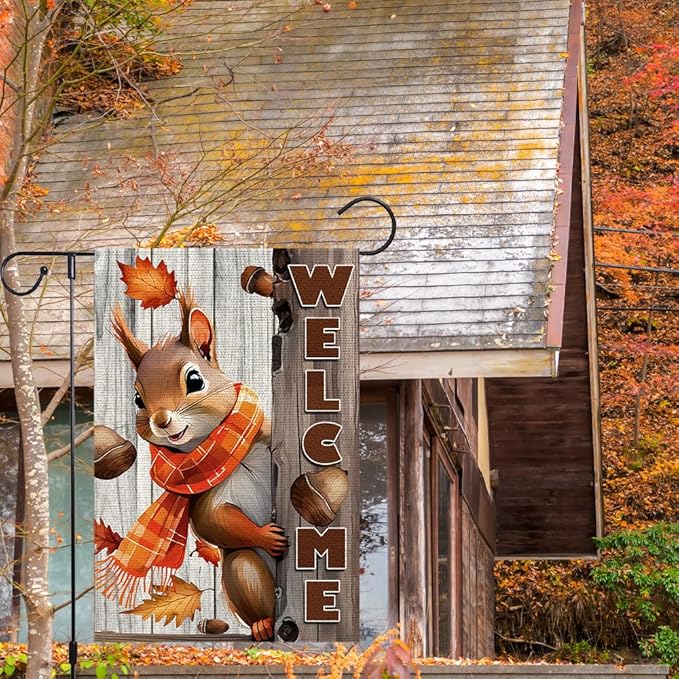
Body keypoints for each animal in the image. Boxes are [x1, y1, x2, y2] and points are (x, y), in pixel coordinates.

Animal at [99, 288, 286, 641]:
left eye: (195, 380)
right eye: (138, 399)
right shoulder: (207, 497)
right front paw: (267, 535)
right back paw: (263, 623)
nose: (160, 420)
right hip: (241, 569)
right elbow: (213, 520)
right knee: (248, 574)